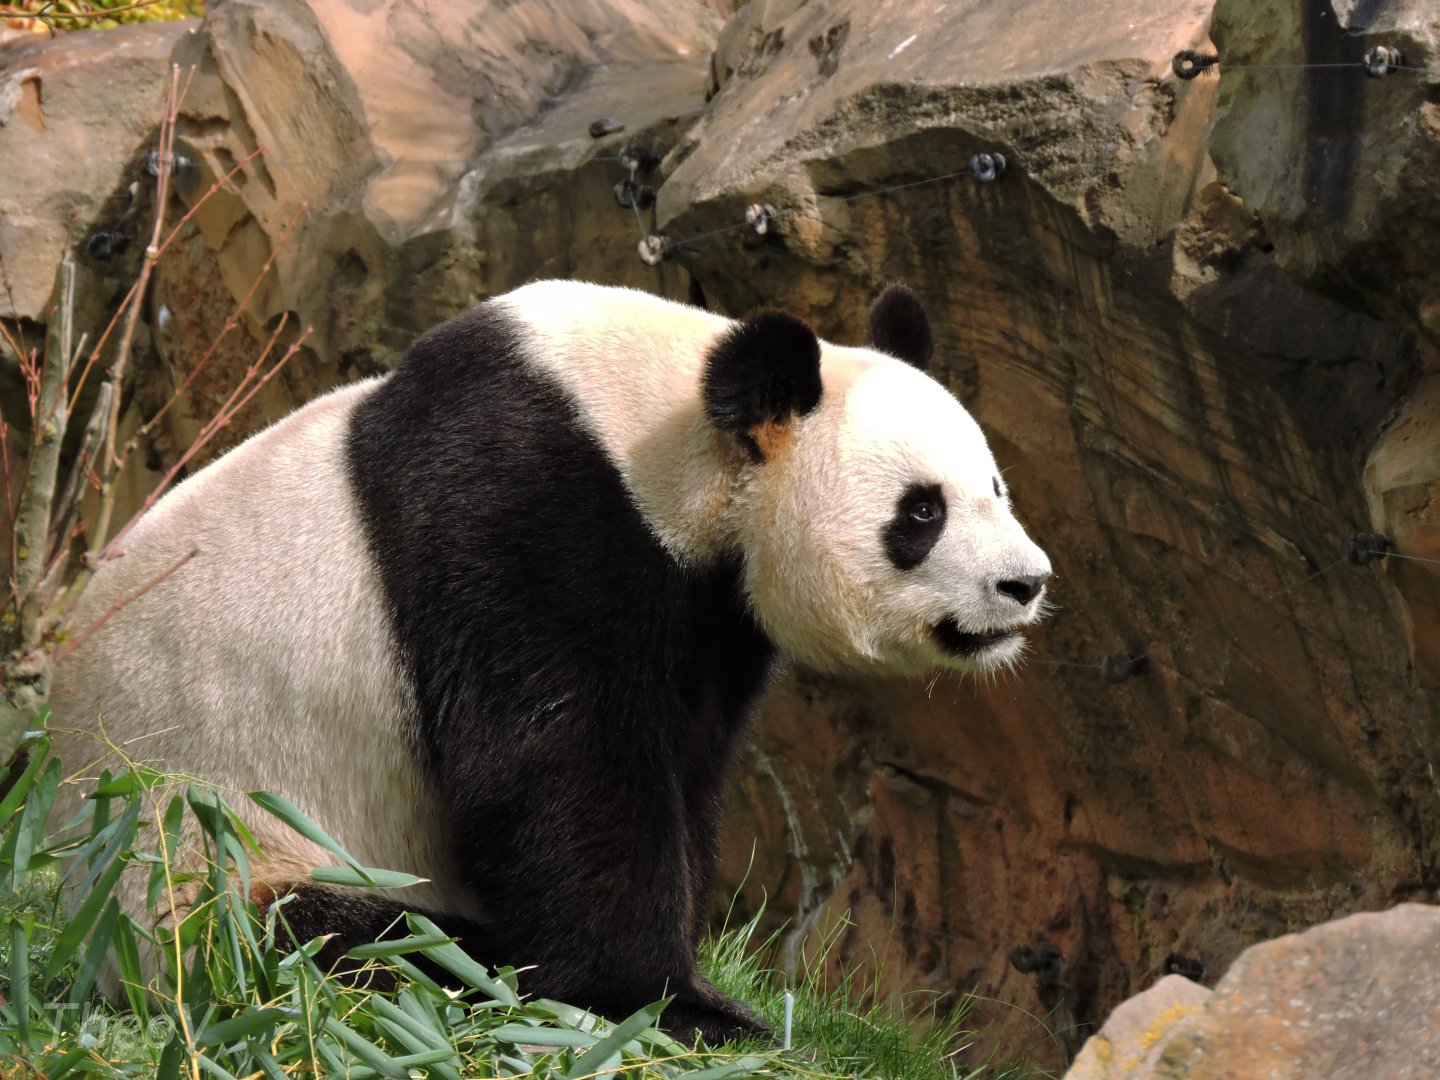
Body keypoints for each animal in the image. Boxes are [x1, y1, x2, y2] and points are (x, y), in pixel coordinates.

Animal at [47, 280, 1051, 1045]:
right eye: (921, 512)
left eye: (996, 488)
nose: (1025, 584)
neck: (658, 431)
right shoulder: (520, 517)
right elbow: (563, 766)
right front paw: (669, 1005)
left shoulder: (708, 620)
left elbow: (681, 767)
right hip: (202, 851)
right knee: (345, 943)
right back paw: (473, 965)